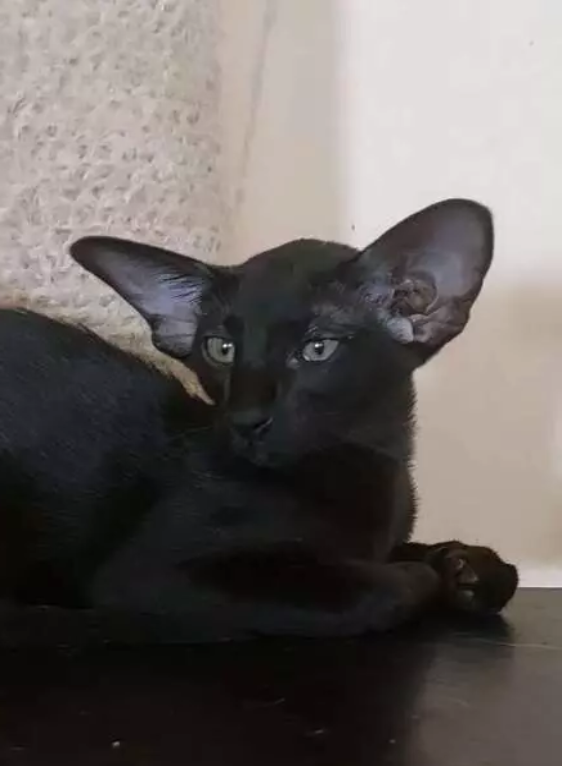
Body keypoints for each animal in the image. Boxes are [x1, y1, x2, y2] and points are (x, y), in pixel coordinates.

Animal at [0, 199, 517, 641]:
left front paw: (467, 566)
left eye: (317, 348)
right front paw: (428, 573)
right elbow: (383, 586)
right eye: (221, 349)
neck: (371, 466)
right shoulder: (152, 573)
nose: (247, 419)